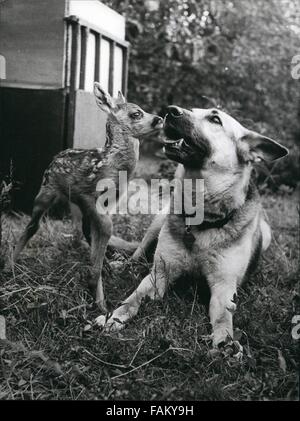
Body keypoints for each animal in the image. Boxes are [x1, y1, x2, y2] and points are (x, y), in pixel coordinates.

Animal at [11, 83, 163, 310]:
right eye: (136, 113)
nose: (160, 119)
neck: (111, 166)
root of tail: (56, 156)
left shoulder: (110, 202)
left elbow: (99, 232)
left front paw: (99, 289)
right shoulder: (88, 196)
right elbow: (106, 228)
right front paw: (99, 297)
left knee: (84, 230)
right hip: (46, 189)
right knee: (33, 225)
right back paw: (9, 264)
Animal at [96, 106, 288, 352]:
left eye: (215, 118)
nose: (170, 110)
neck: (201, 221)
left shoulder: (223, 289)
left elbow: (223, 318)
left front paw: (225, 342)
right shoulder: (159, 275)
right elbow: (133, 298)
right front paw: (115, 316)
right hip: (159, 222)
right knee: (138, 253)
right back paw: (123, 264)